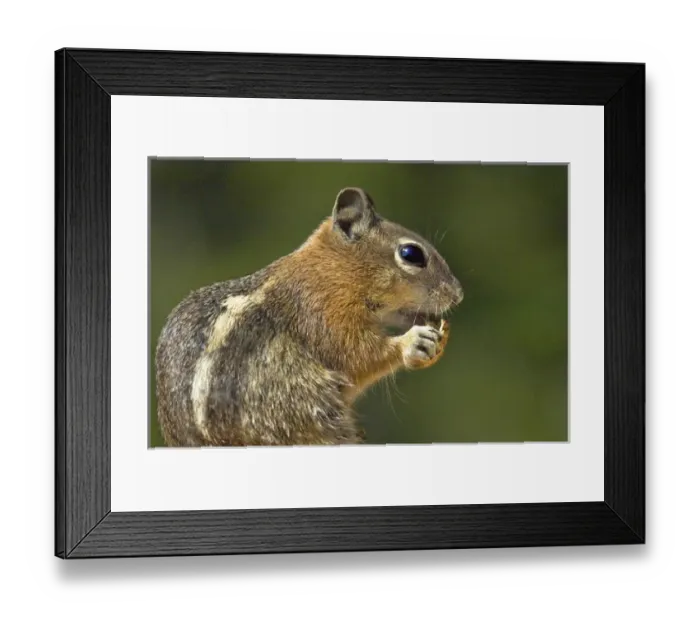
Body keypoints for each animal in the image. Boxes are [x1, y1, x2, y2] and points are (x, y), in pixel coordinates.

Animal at [155, 187, 464, 447]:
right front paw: (413, 342)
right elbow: (358, 355)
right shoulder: (324, 315)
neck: (334, 271)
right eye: (411, 254)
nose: (458, 294)